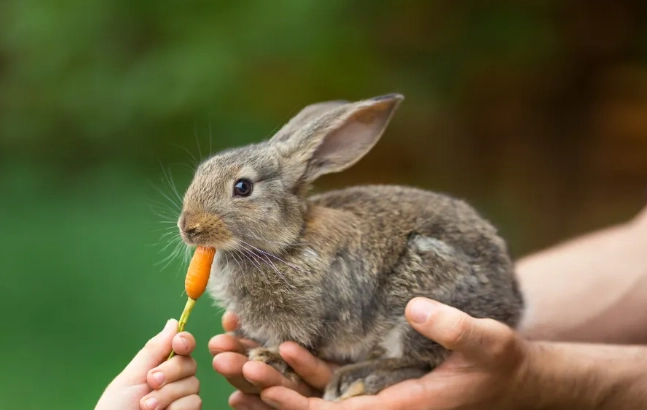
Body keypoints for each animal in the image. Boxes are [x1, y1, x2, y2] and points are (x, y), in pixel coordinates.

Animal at [177, 94, 525, 401]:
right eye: (200, 172)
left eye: (243, 187)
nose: (188, 228)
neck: (288, 241)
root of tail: (511, 308)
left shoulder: (304, 317)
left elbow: (296, 342)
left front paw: (269, 357)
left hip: (417, 300)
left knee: (417, 361)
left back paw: (358, 379)